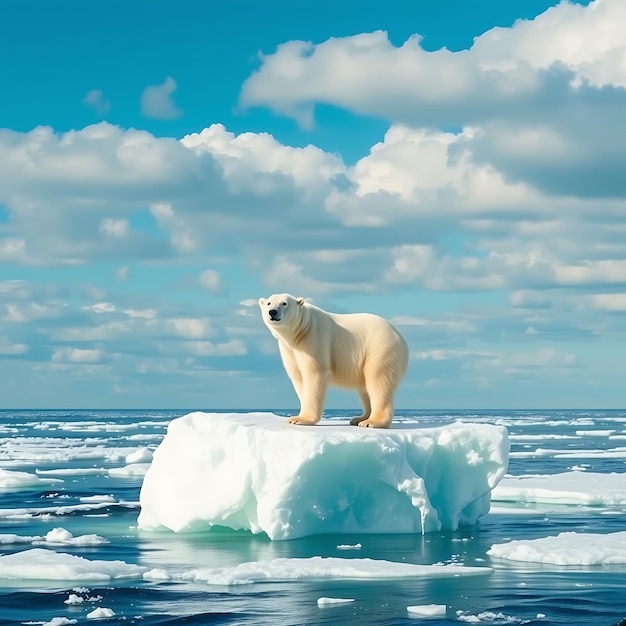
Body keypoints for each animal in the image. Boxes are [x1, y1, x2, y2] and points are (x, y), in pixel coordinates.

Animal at [256, 292, 408, 424]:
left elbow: (314, 373)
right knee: (365, 387)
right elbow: (298, 377)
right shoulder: (289, 349)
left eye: (284, 303)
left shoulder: (314, 338)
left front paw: (301, 419)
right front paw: (297, 416)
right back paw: (359, 418)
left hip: (380, 348)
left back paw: (372, 421)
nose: (272, 312)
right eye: (269, 303)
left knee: (378, 380)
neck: (300, 329)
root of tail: (401, 339)